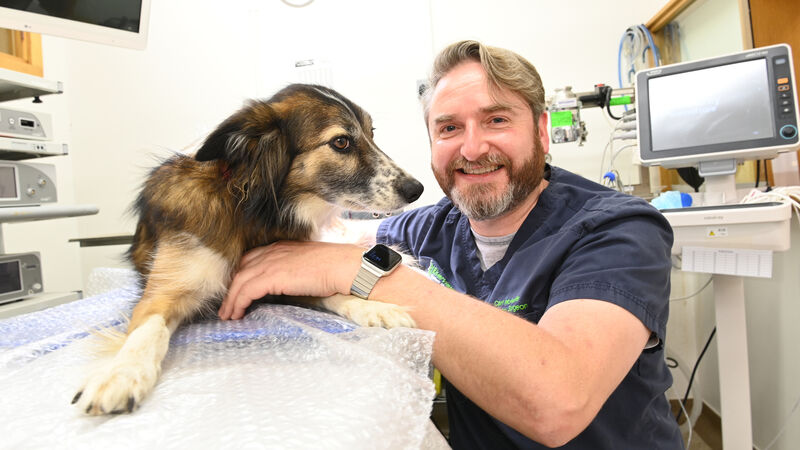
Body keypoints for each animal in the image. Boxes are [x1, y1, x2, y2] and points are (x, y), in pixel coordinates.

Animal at [72, 84, 424, 415]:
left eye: (371, 133)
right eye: (341, 142)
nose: (417, 189)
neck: (249, 210)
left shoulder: (280, 279)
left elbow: (331, 291)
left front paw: (374, 308)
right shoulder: (166, 292)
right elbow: (148, 330)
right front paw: (121, 374)